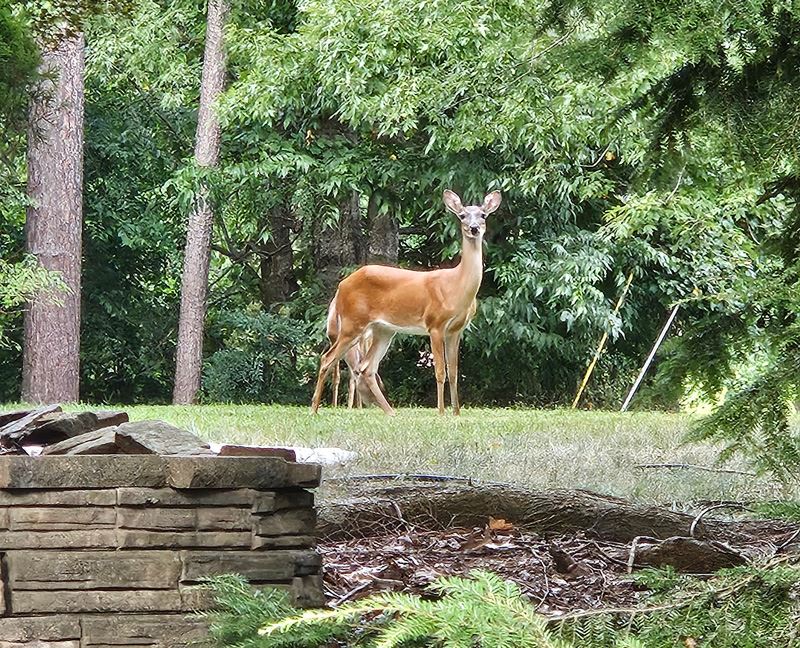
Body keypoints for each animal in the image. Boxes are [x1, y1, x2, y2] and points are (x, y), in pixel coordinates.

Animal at [311, 189, 501, 416]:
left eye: (483, 215)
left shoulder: (456, 330)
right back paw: (314, 409)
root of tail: (341, 286)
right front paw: (441, 413)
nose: (473, 228)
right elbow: (440, 371)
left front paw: (457, 413)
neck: (455, 287)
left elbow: (454, 372)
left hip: (383, 329)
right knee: (327, 359)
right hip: (352, 322)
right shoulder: (435, 324)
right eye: (462, 215)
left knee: (366, 367)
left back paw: (390, 412)